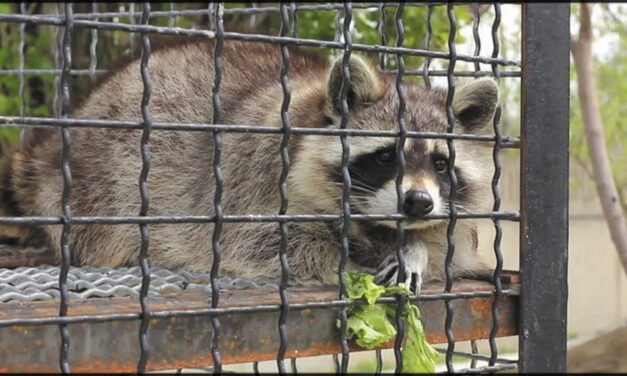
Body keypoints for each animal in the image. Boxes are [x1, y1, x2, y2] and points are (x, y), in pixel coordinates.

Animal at [0, 39, 500, 290]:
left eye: (440, 164)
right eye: (383, 156)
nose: (417, 203)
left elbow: (446, 245)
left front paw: (414, 247)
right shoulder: (252, 179)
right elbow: (271, 244)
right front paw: (363, 254)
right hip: (102, 179)